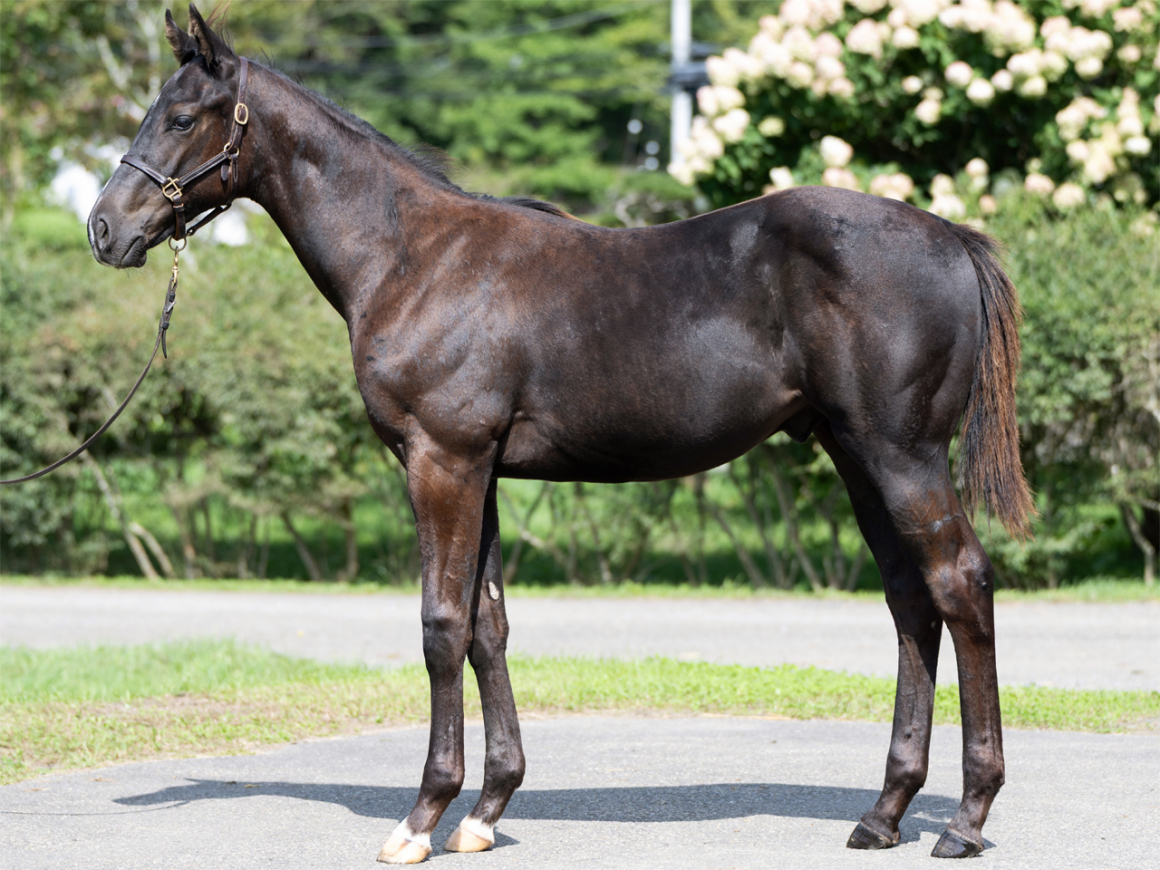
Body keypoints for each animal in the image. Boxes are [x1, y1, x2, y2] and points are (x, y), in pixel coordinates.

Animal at [88, 5, 1034, 864]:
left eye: (181, 117)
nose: (104, 228)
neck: (412, 258)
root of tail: (951, 236)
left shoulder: (442, 463)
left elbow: (441, 625)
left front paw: (422, 818)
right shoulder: (482, 472)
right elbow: (488, 625)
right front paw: (485, 810)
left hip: (901, 456)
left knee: (961, 583)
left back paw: (965, 819)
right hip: (855, 455)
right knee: (911, 600)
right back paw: (885, 813)